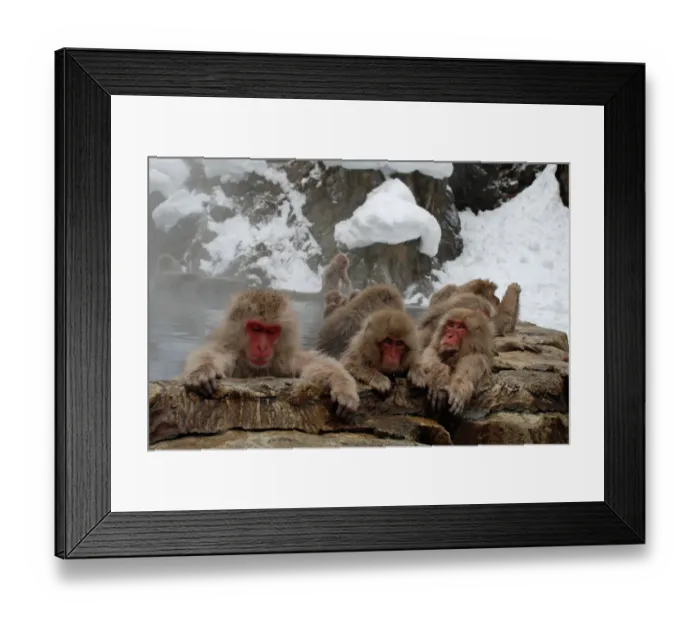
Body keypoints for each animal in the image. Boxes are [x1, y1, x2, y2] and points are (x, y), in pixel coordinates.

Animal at [180, 289, 360, 418]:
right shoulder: (231, 353)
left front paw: (343, 388)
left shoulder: (284, 361)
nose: (261, 347)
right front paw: (203, 371)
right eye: (256, 328)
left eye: (271, 331)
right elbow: (212, 354)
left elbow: (315, 363)